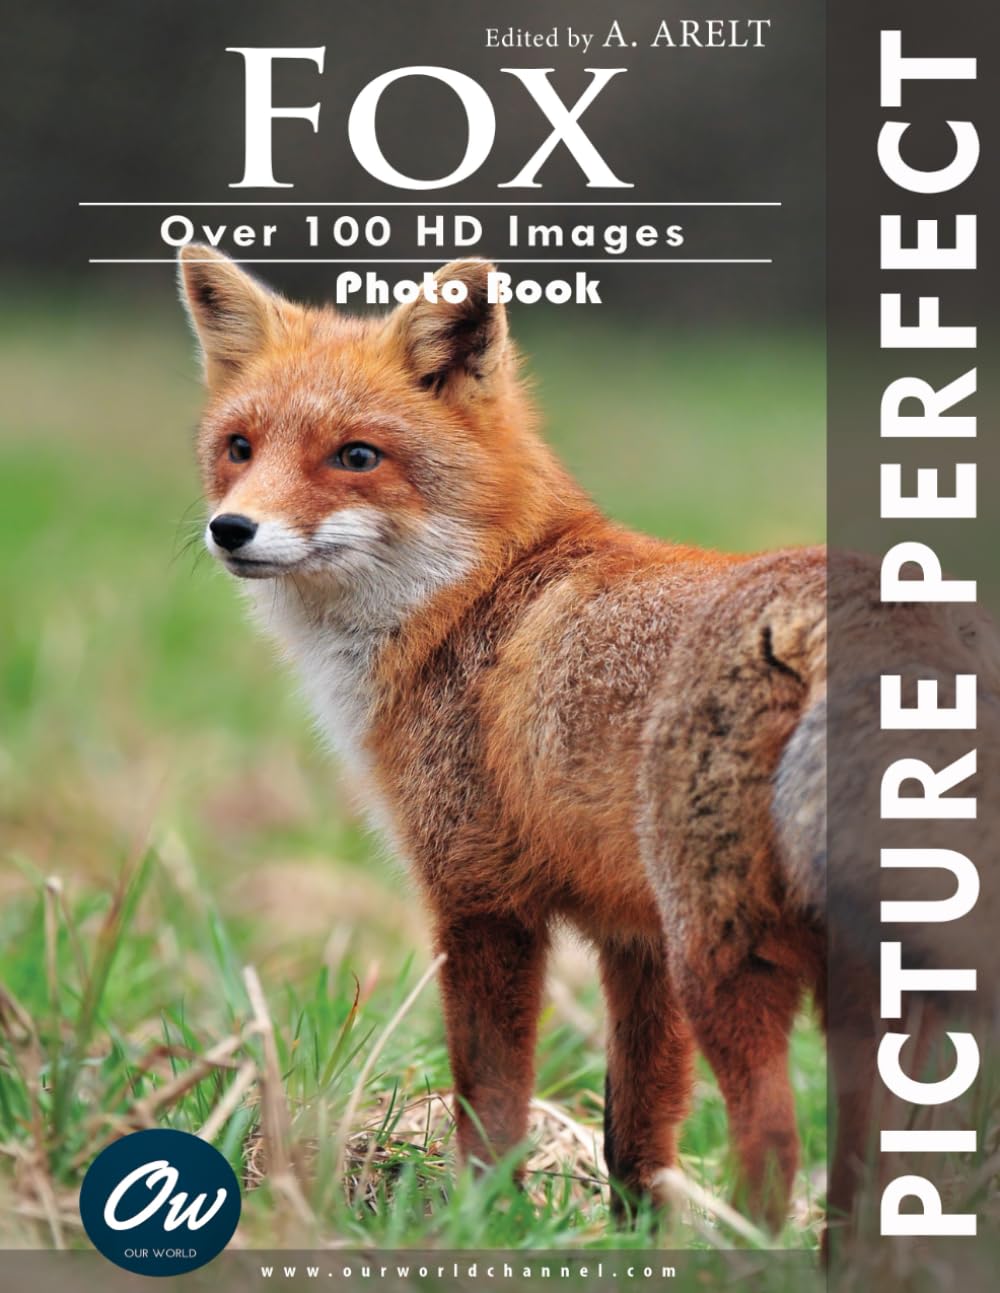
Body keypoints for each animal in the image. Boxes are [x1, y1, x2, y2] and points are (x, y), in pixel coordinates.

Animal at [175, 246, 995, 1239]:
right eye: (239, 447)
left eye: (357, 456)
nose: (232, 529)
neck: (477, 597)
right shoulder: (633, 934)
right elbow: (635, 1133)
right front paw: (635, 1241)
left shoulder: (481, 899)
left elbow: (491, 1104)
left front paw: (486, 1223)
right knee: (877, 1166)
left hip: (728, 957)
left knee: (774, 1145)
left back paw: (748, 1256)